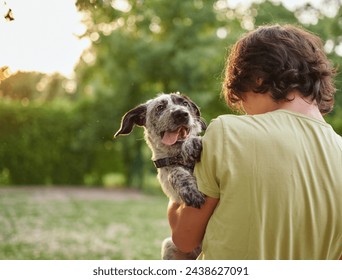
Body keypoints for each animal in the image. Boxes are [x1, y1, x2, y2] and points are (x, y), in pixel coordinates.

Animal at [114, 93, 206, 260]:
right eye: (160, 107)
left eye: (184, 104)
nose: (181, 114)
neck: (181, 157)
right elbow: (175, 173)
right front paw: (190, 190)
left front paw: (191, 143)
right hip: (168, 245)